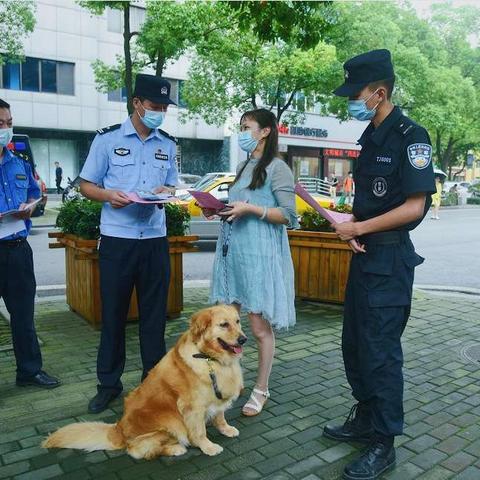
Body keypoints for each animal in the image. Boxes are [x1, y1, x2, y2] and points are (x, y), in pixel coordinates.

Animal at [41, 306, 248, 460]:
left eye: (237, 321)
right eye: (224, 324)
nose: (243, 339)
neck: (208, 358)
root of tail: (117, 429)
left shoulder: (217, 394)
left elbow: (220, 416)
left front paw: (226, 429)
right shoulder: (192, 408)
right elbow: (199, 432)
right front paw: (208, 447)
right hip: (169, 421)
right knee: (140, 451)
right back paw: (176, 448)